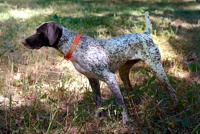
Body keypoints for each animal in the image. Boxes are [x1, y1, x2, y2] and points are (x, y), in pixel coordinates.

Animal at [22, 11, 178, 124]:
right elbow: (98, 101)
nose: (23, 41)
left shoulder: (110, 78)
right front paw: (98, 117)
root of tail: (145, 34)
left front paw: (126, 121)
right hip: (123, 72)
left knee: (171, 90)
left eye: (39, 32)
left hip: (157, 69)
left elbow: (120, 103)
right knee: (130, 89)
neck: (75, 46)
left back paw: (175, 104)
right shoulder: (92, 79)